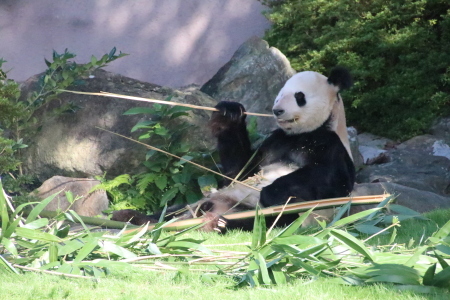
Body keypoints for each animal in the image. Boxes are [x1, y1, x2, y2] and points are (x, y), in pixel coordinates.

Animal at [112, 67, 356, 232]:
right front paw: (229, 113)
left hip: (287, 215)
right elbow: (241, 170)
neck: (301, 134)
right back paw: (128, 216)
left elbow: (326, 178)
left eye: (299, 96)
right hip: (191, 205)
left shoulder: (329, 144)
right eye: (279, 94)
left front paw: (272, 191)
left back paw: (220, 223)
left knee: (264, 221)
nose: (277, 110)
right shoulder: (277, 141)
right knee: (170, 211)